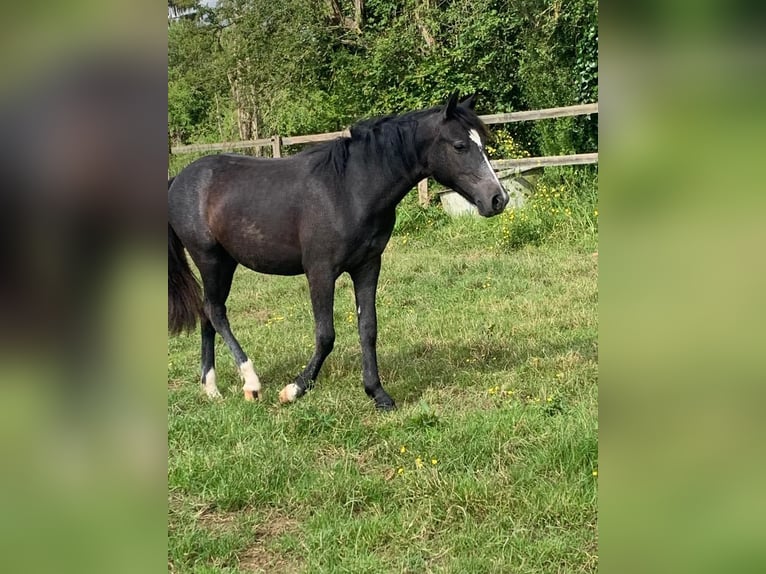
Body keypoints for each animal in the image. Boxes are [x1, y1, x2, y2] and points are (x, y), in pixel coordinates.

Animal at [171, 92, 512, 412]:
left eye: (483, 142)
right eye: (459, 145)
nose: (498, 199)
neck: (350, 188)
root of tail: (179, 180)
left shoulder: (367, 266)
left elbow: (368, 328)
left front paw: (378, 394)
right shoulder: (320, 271)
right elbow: (326, 334)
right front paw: (294, 389)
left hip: (225, 262)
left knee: (208, 313)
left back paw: (211, 388)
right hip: (209, 258)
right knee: (216, 312)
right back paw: (251, 383)